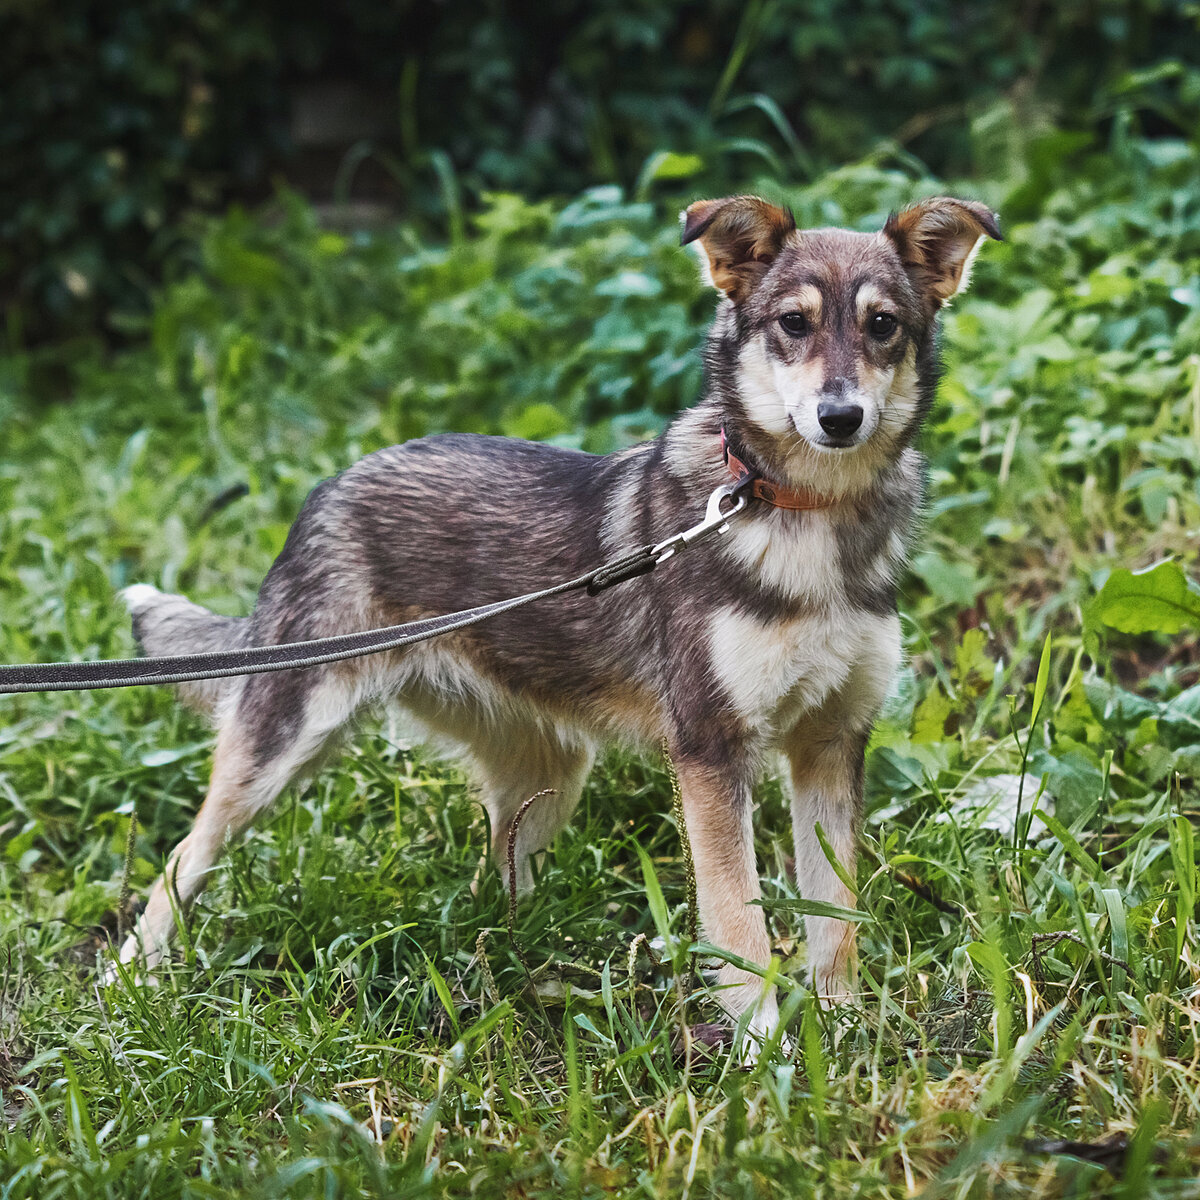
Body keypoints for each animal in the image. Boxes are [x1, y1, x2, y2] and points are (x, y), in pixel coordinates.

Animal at [114, 194, 993, 1051]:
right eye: (793, 323)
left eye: (883, 325)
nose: (840, 417)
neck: (803, 512)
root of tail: (329, 486)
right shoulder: (712, 754)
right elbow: (739, 925)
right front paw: (765, 1055)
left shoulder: (832, 745)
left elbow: (835, 919)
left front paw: (846, 1035)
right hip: (282, 740)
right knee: (184, 854)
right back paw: (135, 978)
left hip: (549, 773)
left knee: (494, 880)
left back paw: (522, 962)